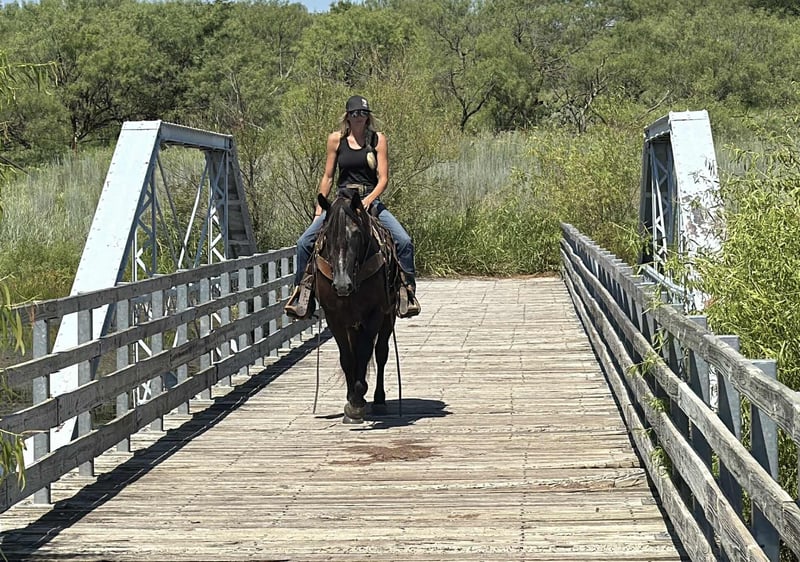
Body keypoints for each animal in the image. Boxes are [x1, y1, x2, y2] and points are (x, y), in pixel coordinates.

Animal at [314, 188, 401, 424]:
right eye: (327, 236)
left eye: (356, 234)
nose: (342, 285)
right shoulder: (334, 317)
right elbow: (347, 358)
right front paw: (351, 400)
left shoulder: (375, 314)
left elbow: (364, 352)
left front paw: (357, 401)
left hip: (388, 317)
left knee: (381, 353)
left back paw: (378, 399)